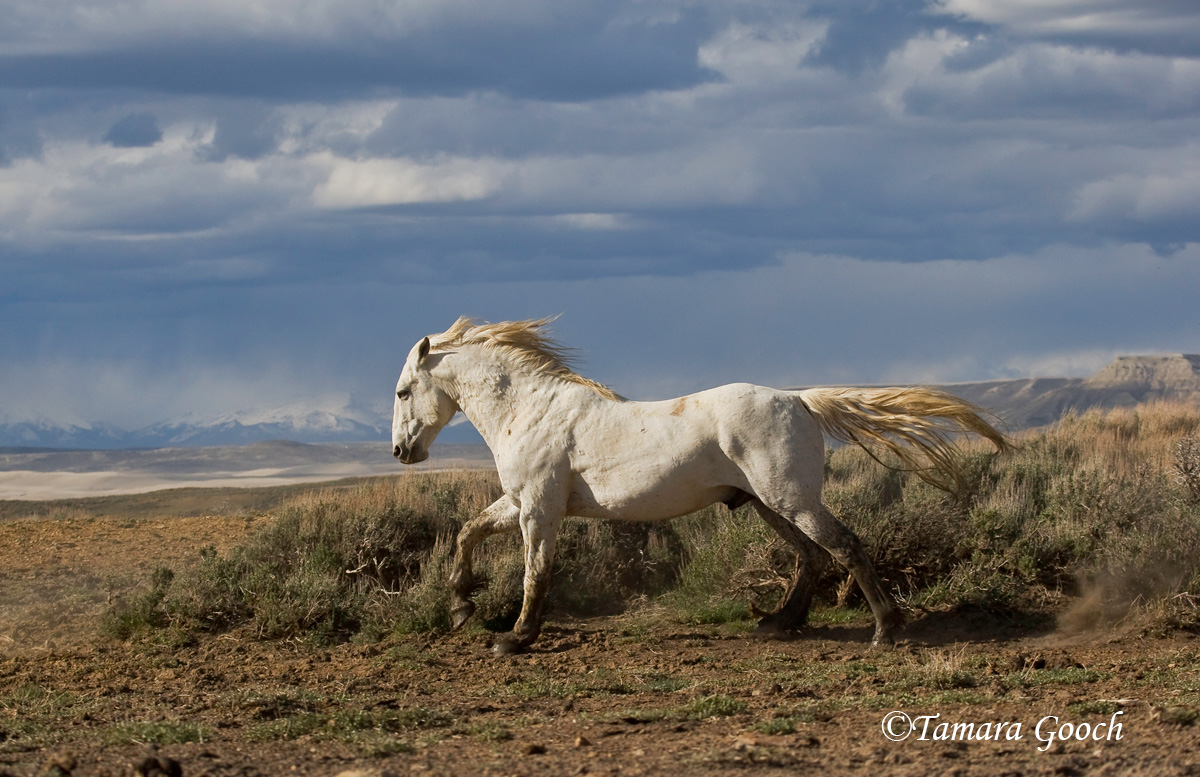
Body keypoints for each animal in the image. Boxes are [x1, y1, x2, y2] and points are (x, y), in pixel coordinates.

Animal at [392, 317, 1009, 655]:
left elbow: (534, 574)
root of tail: (802, 400)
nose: (401, 452)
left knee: (844, 546)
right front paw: (461, 607)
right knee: (811, 555)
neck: (531, 410)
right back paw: (779, 624)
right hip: (768, 504)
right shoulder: (520, 503)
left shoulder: (539, 509)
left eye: (402, 392)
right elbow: (467, 533)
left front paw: (513, 639)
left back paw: (885, 630)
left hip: (789, 499)